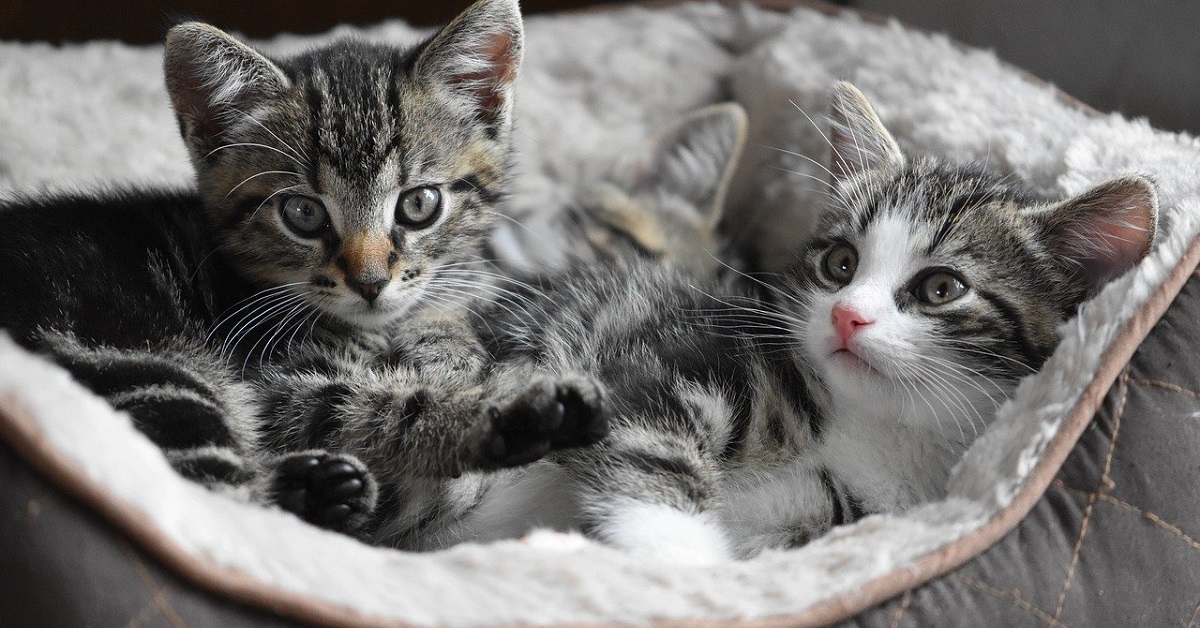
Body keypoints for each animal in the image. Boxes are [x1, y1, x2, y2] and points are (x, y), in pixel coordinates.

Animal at [0, 0, 604, 533]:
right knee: (220, 514)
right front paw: (506, 409)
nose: (370, 283)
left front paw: (448, 347)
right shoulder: (272, 387)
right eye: (303, 214)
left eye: (419, 204)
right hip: (139, 367)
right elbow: (374, 409)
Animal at [427, 81, 1156, 561]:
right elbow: (656, 455)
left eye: (942, 288)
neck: (872, 427)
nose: (848, 317)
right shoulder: (660, 358)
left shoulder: (832, 518)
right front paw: (677, 566)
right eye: (840, 264)